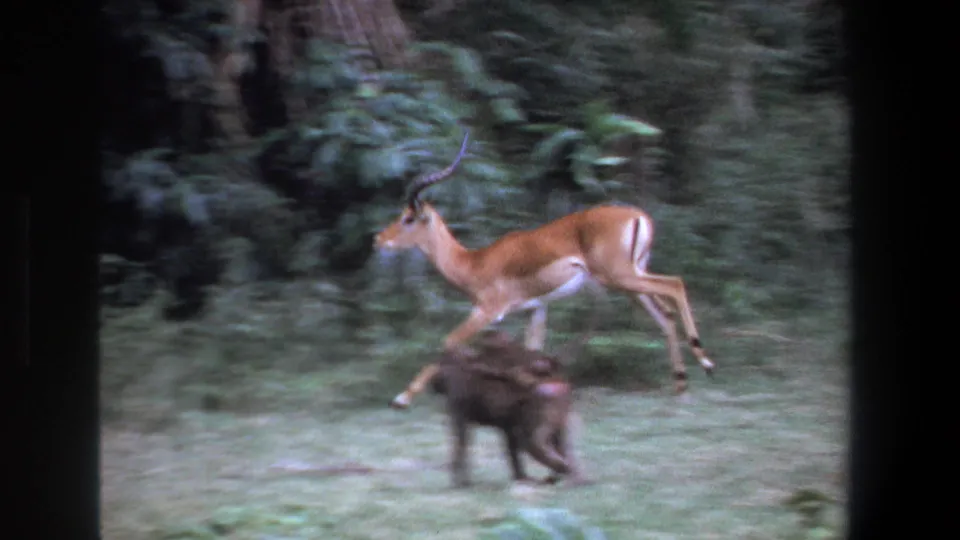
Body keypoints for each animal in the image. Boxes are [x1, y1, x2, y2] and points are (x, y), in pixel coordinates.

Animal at [375, 130, 715, 409]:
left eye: (408, 217)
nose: (378, 239)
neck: (474, 262)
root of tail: (638, 216)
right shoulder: (535, 309)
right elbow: (530, 353)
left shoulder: (488, 311)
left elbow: (449, 342)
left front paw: (401, 398)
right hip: (631, 283)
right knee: (666, 315)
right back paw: (681, 384)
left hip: (621, 277)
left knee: (675, 284)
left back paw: (705, 362)